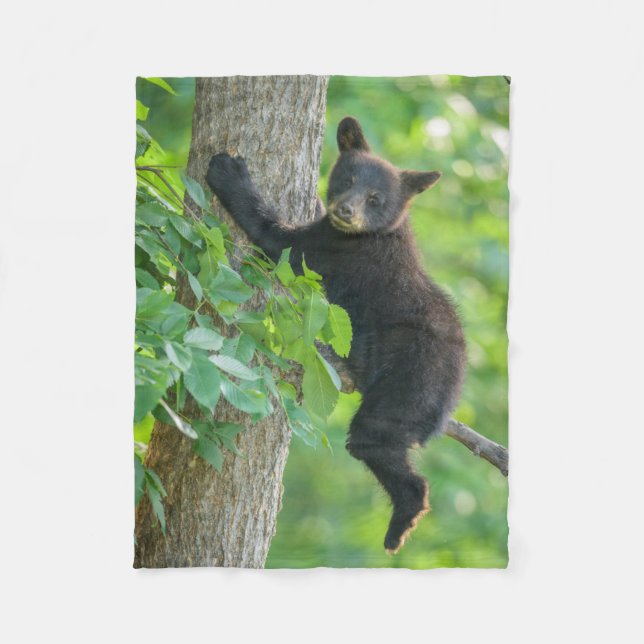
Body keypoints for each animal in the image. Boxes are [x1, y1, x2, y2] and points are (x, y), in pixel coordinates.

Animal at [206, 116, 466, 554]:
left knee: (372, 439)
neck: (371, 234)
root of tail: (452, 395)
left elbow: (278, 240)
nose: (345, 210)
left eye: (376, 198)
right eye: (347, 178)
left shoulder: (338, 251)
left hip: (407, 384)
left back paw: (401, 522)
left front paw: (228, 171)